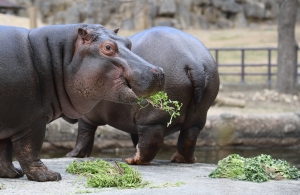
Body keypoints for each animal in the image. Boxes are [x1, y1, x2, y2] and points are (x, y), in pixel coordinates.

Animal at [0, 24, 164, 181]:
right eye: (108, 47)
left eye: (128, 42)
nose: (159, 72)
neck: (54, 56)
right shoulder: (32, 120)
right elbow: (29, 149)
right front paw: (48, 176)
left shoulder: (9, 122)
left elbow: (4, 150)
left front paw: (12, 173)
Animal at [67, 26, 219, 165]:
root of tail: (192, 60)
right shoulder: (133, 122)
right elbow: (136, 138)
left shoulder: (87, 117)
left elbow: (84, 134)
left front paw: (72, 155)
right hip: (198, 114)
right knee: (189, 136)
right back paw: (181, 159)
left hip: (152, 117)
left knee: (153, 140)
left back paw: (132, 160)